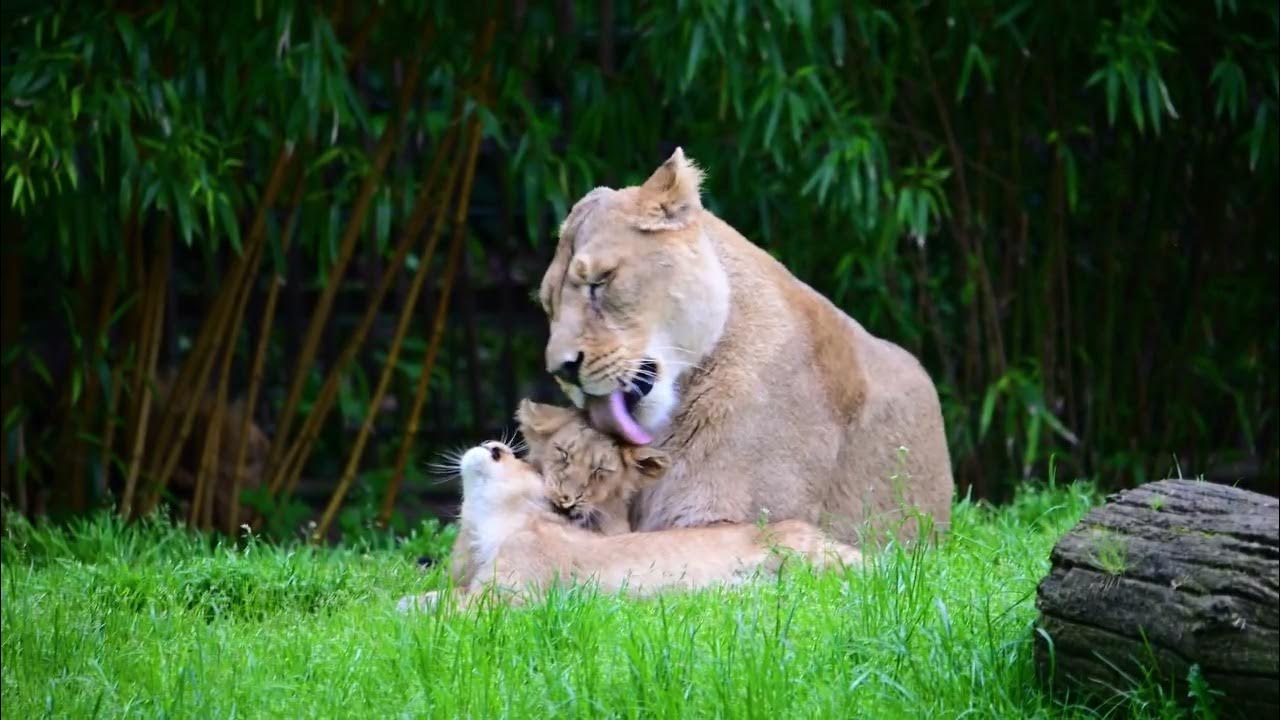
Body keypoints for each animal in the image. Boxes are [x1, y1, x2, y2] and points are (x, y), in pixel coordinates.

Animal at [401, 439, 860, 611]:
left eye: (519, 461)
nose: (494, 447)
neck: (485, 526)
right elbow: (438, 595)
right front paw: (412, 602)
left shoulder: (509, 597)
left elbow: (452, 610)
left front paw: (410, 613)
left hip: (810, 557)